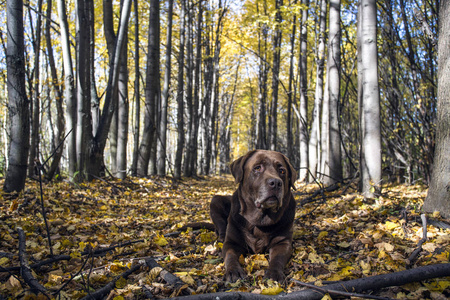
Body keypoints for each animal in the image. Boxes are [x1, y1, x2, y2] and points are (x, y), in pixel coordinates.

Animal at [210, 150, 298, 284]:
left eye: (282, 171)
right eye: (257, 168)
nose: (276, 183)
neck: (260, 220)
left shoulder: (283, 242)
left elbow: (277, 258)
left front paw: (274, 274)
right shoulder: (231, 242)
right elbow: (230, 256)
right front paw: (233, 271)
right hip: (215, 200)